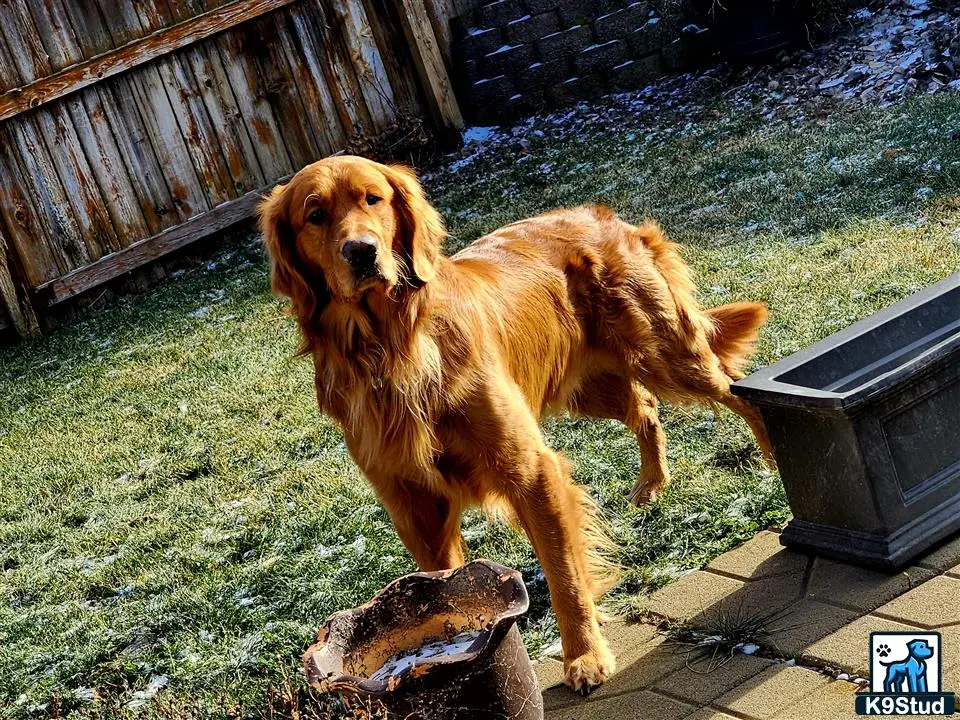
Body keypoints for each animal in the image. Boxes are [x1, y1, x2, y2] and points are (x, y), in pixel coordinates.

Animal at [258, 155, 776, 696]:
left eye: (372, 199)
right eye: (315, 215)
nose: (361, 251)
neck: (391, 349)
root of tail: (604, 215)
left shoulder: (528, 469)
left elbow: (564, 574)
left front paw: (584, 655)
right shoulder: (414, 506)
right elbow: (440, 591)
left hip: (666, 353)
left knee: (736, 388)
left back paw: (772, 456)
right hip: (590, 387)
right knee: (645, 407)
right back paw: (652, 484)